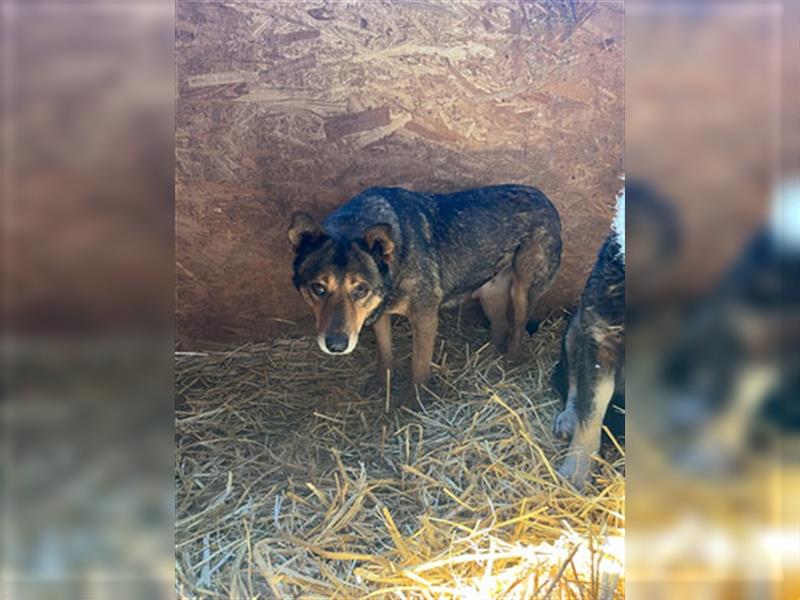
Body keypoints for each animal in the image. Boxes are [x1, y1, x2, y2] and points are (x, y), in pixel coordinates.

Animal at [290, 185, 564, 406]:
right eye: (318, 288)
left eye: (360, 289)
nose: (336, 346)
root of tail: (545, 198)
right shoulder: (380, 315)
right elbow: (385, 354)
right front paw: (381, 384)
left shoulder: (425, 318)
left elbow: (418, 366)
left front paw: (414, 403)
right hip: (489, 296)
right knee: (500, 329)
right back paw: (487, 361)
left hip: (522, 291)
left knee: (517, 328)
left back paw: (509, 360)